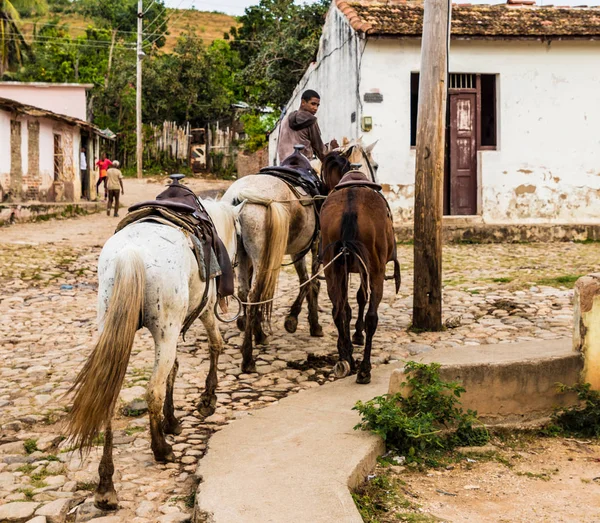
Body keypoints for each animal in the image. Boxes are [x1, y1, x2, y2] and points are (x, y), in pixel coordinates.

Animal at [65, 199, 241, 510]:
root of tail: (130, 254)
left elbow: (175, 369)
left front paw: (171, 420)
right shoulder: (204, 311)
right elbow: (215, 346)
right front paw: (207, 400)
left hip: (114, 326)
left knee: (109, 397)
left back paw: (106, 485)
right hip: (166, 330)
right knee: (152, 390)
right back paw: (161, 449)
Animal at [322, 171, 400, 384]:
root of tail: (351, 205)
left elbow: (349, 306)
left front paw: (350, 341)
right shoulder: (367, 270)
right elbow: (362, 299)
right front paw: (358, 334)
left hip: (331, 269)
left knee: (338, 311)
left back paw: (346, 358)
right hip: (376, 271)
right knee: (372, 317)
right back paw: (364, 369)